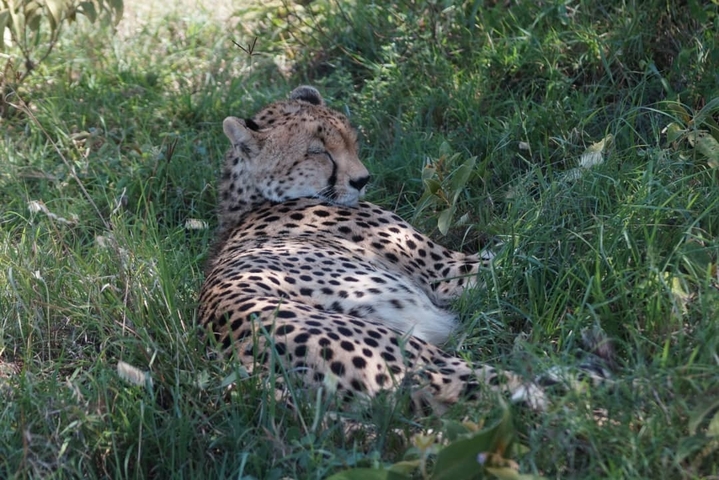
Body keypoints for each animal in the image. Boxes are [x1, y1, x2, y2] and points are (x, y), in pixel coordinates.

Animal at [198, 85, 547, 412]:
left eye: (351, 141)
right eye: (318, 152)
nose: (362, 180)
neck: (252, 202)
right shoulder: (449, 274)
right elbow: (531, 246)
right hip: (412, 353)